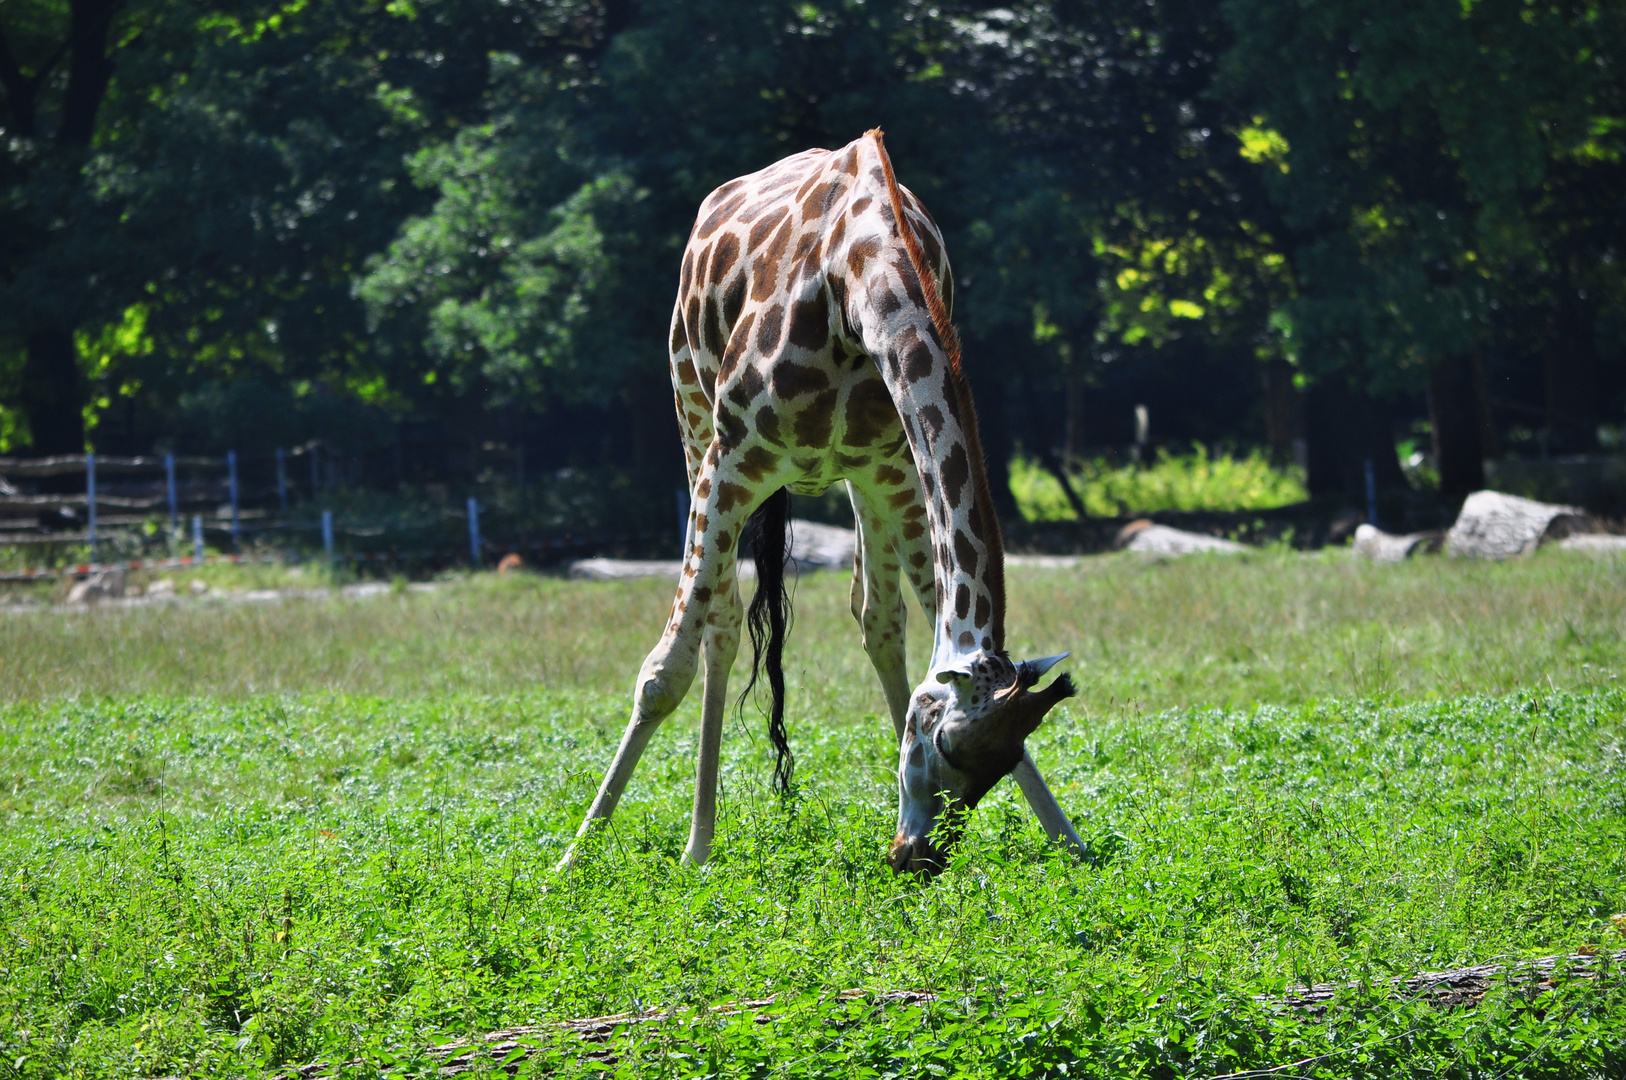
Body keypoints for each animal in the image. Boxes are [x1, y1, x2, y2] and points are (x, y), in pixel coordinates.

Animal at [552, 130, 1086, 884]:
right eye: (948, 747)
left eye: (1008, 756)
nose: (917, 857)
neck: (860, 280)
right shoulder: (733, 457)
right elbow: (662, 672)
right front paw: (572, 858)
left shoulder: (893, 466)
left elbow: (917, 613)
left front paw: (1071, 841)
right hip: (692, 415)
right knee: (718, 622)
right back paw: (697, 846)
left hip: (859, 480)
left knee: (877, 616)